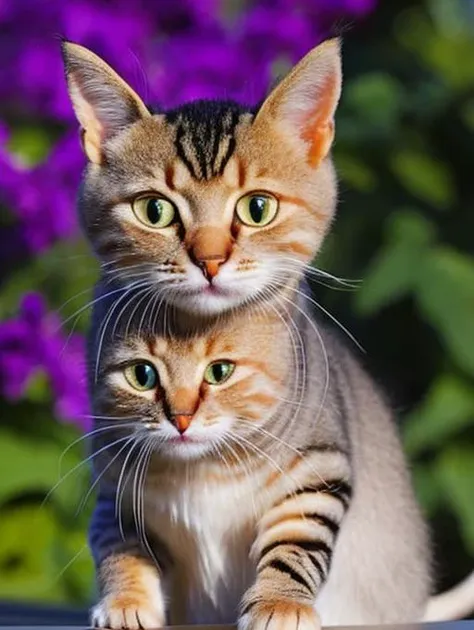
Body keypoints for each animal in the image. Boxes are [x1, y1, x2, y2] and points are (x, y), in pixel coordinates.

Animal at [85, 292, 430, 630]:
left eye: (219, 372)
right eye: (142, 375)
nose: (181, 420)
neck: (201, 470)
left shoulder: (315, 477)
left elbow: (292, 552)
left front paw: (279, 605)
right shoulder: (116, 504)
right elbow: (123, 556)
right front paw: (125, 604)